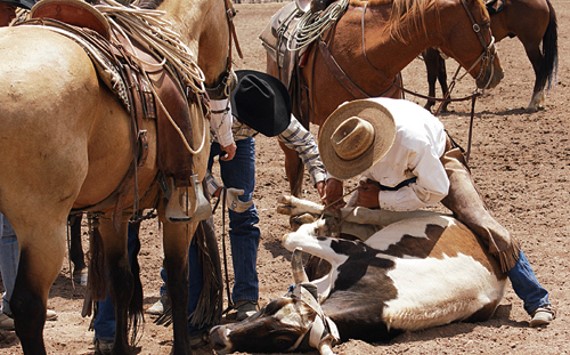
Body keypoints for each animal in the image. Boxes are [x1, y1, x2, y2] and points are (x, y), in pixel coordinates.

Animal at [0, 0, 235, 354]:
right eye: (231, 16)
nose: (224, 84)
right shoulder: (182, 209)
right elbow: (178, 279)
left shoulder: (114, 210)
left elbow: (121, 281)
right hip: (42, 228)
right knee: (28, 307)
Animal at [210, 196, 506, 354]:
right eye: (270, 304)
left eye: (281, 339)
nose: (219, 335)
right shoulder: (351, 255)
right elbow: (295, 239)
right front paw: (316, 221)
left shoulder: (353, 252)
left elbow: (291, 239)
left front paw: (314, 224)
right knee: (358, 213)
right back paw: (302, 209)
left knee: (357, 216)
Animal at [422, 0, 556, 112]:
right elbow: (441, 75)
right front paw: (445, 103)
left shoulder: (429, 51)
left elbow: (432, 77)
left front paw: (430, 104)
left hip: (530, 45)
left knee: (541, 68)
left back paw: (534, 102)